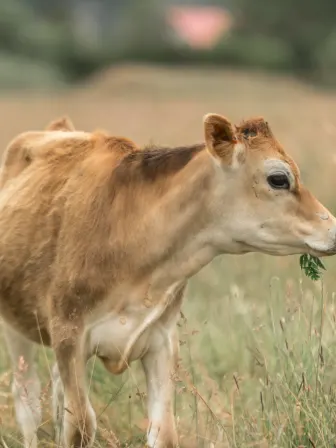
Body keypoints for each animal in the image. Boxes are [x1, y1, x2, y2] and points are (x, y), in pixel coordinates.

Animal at [0, 114, 336, 446]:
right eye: (278, 179)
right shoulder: (69, 334)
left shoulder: (161, 340)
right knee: (27, 398)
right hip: (16, 327)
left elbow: (164, 433)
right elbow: (80, 424)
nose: (333, 230)